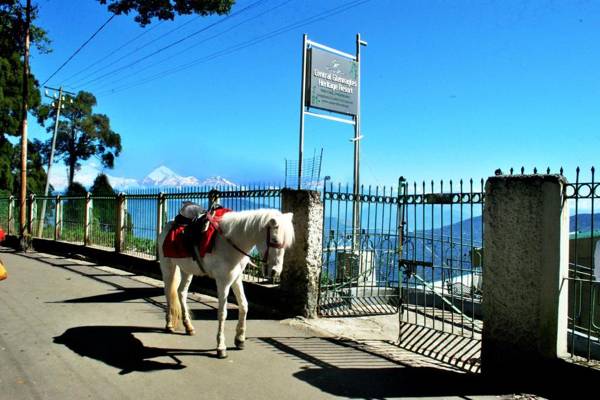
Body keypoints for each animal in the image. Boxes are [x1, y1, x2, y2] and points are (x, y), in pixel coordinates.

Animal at [156, 208, 294, 358]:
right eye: (274, 240)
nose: (275, 272)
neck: (230, 242)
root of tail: (168, 225)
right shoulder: (223, 281)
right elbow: (222, 313)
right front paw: (221, 346)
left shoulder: (236, 278)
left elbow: (244, 305)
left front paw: (240, 339)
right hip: (167, 267)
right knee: (168, 292)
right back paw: (169, 324)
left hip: (187, 270)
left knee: (181, 292)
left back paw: (188, 326)